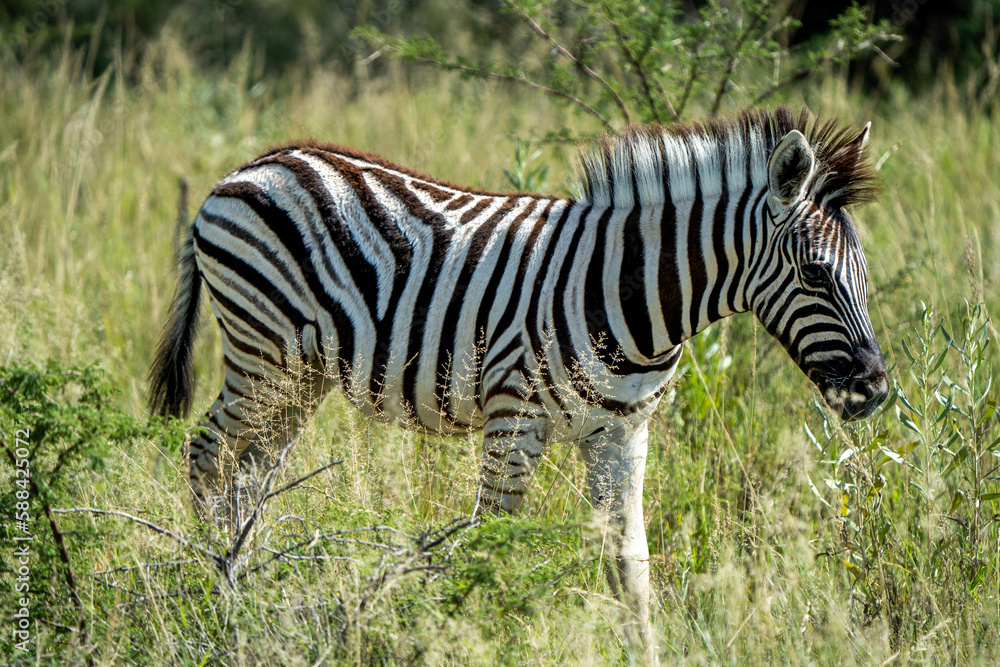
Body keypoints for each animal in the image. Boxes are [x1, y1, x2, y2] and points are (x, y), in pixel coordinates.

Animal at [149, 106, 887, 654]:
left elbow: (631, 565)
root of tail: (247, 166)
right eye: (815, 273)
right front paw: (483, 637)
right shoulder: (514, 418)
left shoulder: (622, 431)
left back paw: (252, 587)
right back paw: (218, 590)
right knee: (208, 454)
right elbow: (492, 545)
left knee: (250, 471)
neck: (629, 294)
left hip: (299, 375)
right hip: (260, 352)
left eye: (864, 274)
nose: (876, 390)